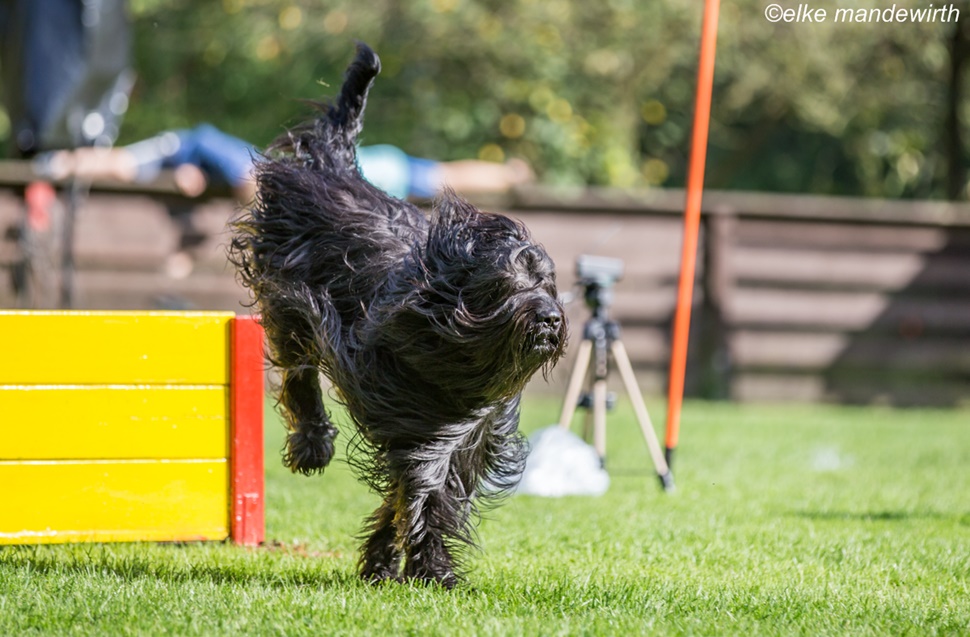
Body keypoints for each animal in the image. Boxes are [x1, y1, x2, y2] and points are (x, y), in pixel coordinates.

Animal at [230, 43, 567, 588]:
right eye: (506, 283)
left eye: (548, 283)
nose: (551, 319)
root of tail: (336, 166)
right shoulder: (415, 420)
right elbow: (423, 492)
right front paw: (430, 567)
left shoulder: (464, 436)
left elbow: (417, 494)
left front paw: (385, 557)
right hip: (288, 290)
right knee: (297, 366)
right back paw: (311, 444)